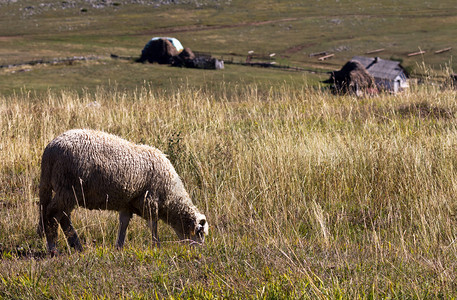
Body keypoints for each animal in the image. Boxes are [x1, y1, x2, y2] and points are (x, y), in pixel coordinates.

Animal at [37, 129, 208, 253]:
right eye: (200, 233)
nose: (201, 251)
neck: (171, 197)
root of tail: (50, 151)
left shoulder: (127, 203)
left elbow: (123, 224)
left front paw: (119, 246)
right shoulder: (150, 201)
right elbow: (153, 225)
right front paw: (156, 246)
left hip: (64, 190)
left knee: (63, 217)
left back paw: (77, 246)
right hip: (68, 188)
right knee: (52, 214)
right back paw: (53, 248)